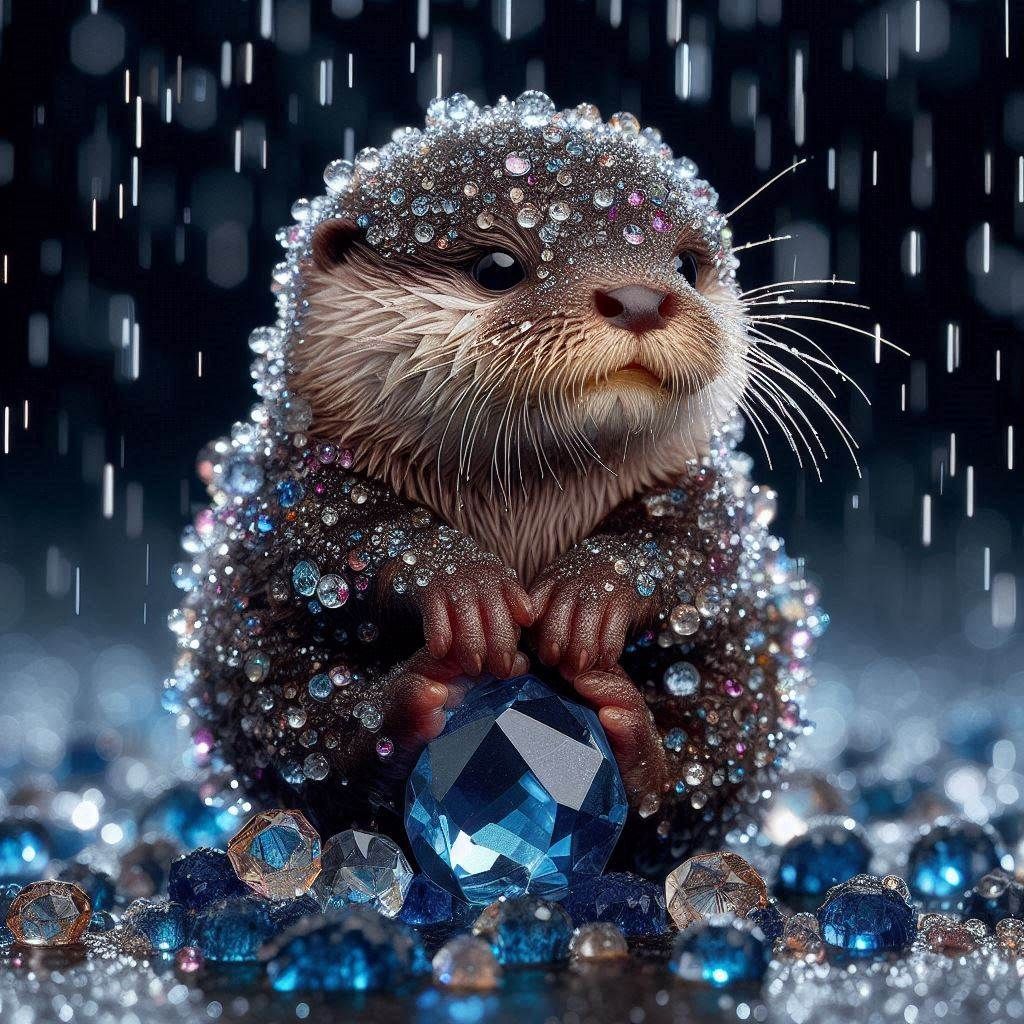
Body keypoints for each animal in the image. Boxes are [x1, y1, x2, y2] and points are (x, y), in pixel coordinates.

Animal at [170, 93, 823, 876]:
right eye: (497, 265)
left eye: (687, 264)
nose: (640, 297)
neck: (523, 505)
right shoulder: (288, 475)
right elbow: (333, 530)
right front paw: (462, 586)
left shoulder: (710, 490)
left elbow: (696, 543)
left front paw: (592, 596)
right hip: (237, 646)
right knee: (295, 729)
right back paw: (408, 701)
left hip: (758, 662)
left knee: (710, 758)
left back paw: (631, 729)